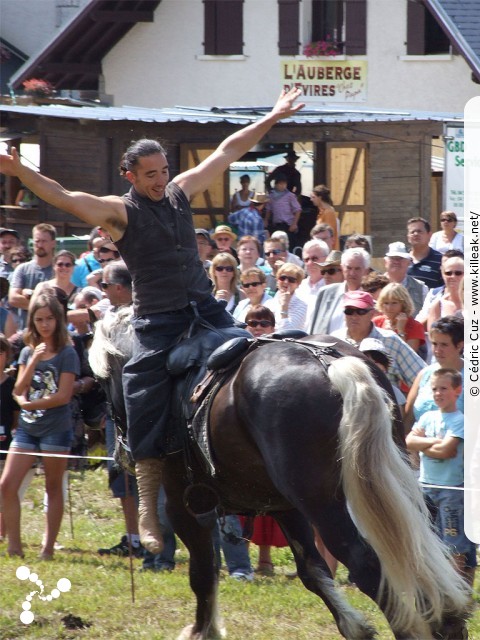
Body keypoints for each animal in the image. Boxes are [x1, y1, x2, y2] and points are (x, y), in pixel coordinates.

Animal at [89, 308, 468, 636]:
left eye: (104, 381)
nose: (120, 451)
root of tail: (334, 366)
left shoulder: (185, 504)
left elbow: (203, 572)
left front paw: (203, 630)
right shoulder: (283, 505)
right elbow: (311, 569)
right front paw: (355, 627)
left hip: (325, 505)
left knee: (367, 563)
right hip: (386, 486)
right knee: (420, 548)